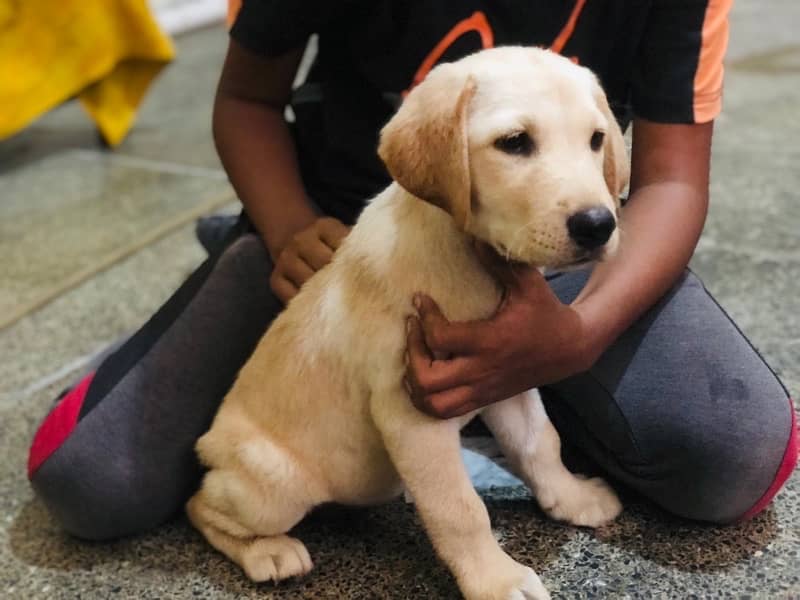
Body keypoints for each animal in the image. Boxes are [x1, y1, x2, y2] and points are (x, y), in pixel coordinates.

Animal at [189, 48, 632, 600]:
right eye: (514, 143)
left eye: (596, 139)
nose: (598, 225)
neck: (465, 256)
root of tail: (209, 442)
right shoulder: (412, 413)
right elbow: (460, 508)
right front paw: (497, 579)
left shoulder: (506, 371)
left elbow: (540, 443)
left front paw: (570, 497)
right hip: (275, 483)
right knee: (200, 506)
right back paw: (267, 552)